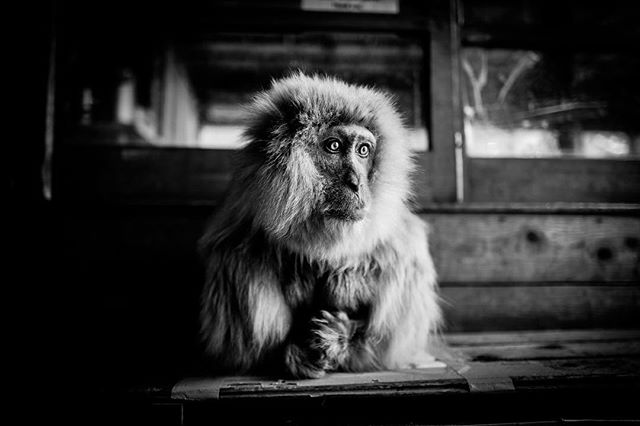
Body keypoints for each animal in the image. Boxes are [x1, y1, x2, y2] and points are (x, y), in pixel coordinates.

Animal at [199, 73, 440, 380]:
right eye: (334, 146)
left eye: (363, 150)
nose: (356, 183)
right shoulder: (235, 234)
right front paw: (295, 354)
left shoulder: (399, 244)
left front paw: (342, 338)